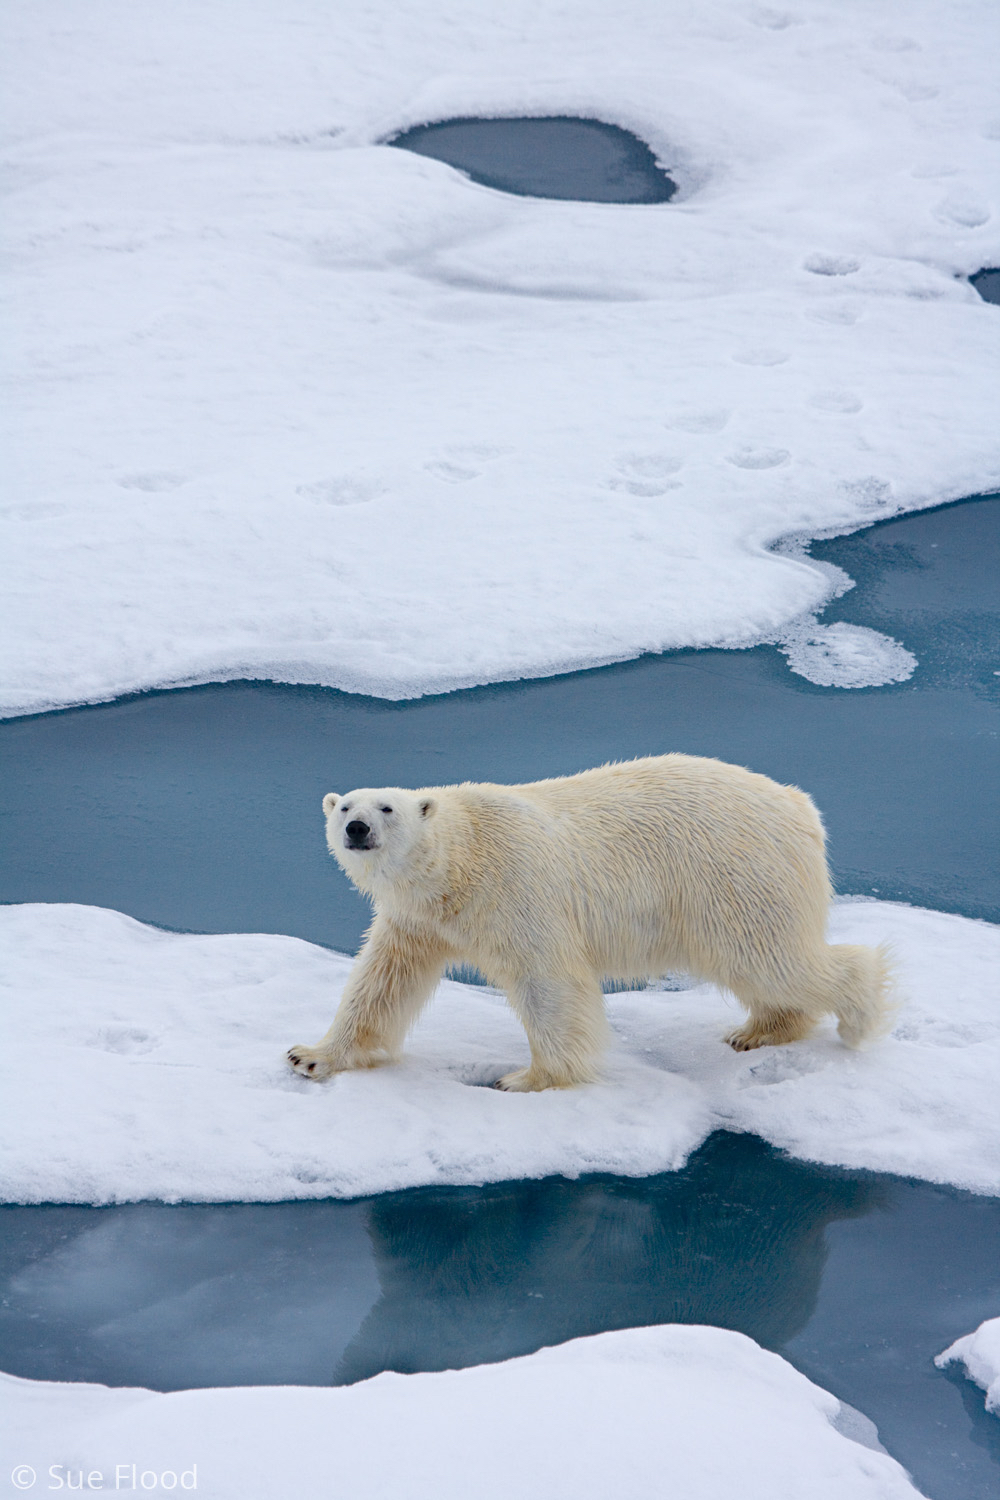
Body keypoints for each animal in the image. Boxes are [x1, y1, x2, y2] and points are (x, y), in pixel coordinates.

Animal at [284, 762, 893, 1092]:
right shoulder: (419, 919)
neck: (461, 863)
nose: (358, 828)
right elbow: (382, 983)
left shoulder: (515, 890)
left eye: (387, 808)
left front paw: (530, 1078)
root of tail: (799, 806)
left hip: (735, 872)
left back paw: (858, 1015)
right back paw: (760, 1030)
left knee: (770, 956)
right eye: (345, 808)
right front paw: (311, 1055)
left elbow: (547, 981)